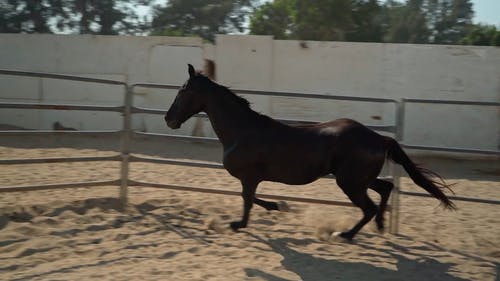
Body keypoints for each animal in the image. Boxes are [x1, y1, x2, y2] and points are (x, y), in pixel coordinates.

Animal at [163, 64, 454, 240]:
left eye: (182, 91)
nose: (168, 119)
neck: (241, 131)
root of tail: (379, 138)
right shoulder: (253, 179)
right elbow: (251, 198)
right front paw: (277, 205)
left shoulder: (249, 177)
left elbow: (246, 200)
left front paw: (239, 223)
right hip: (360, 179)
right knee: (386, 189)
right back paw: (380, 226)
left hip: (350, 182)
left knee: (369, 206)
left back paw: (346, 235)